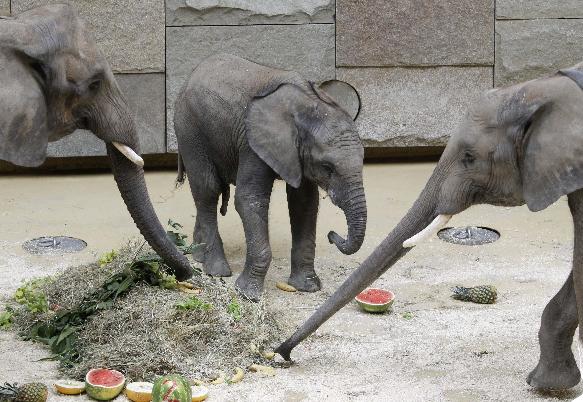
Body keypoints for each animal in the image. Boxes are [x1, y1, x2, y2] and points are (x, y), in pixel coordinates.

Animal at [173, 53, 368, 300]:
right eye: (327, 167)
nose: (332, 235)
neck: (308, 104)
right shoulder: (252, 142)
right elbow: (250, 199)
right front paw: (247, 294)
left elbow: (304, 204)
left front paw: (307, 287)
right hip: (190, 129)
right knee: (207, 190)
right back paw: (217, 270)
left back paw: (198, 256)